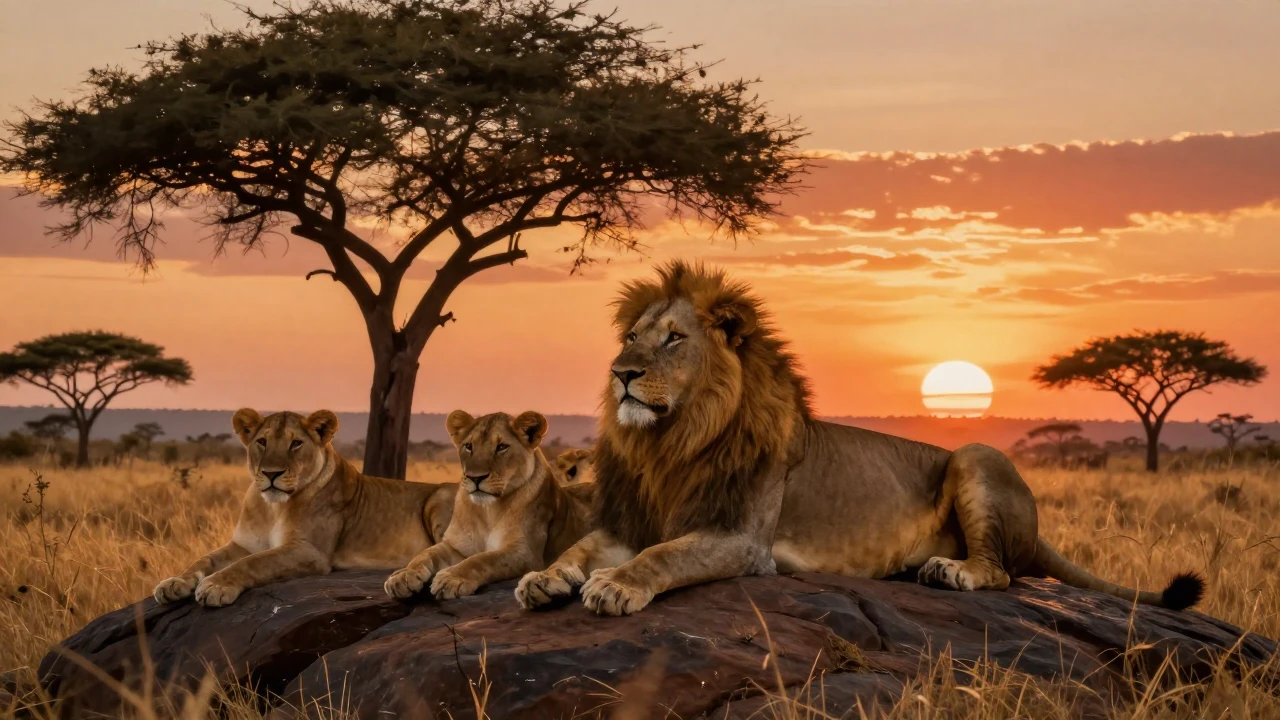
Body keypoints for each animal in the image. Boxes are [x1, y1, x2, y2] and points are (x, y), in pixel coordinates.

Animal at [153, 409, 455, 607]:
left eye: (295, 443)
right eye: (262, 442)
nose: (271, 473)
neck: (272, 508)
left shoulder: (310, 551)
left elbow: (256, 562)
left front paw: (216, 585)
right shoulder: (243, 543)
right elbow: (204, 559)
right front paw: (175, 583)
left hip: (439, 497)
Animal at [383, 410, 595, 601]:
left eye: (502, 447)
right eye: (468, 446)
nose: (475, 477)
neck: (487, 511)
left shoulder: (524, 553)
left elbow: (482, 559)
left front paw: (451, 578)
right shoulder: (455, 545)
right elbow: (425, 553)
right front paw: (403, 575)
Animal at [516, 261, 1204, 616]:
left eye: (674, 340)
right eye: (632, 337)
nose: (621, 374)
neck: (672, 440)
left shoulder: (741, 539)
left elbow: (663, 556)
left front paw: (616, 585)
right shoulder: (632, 518)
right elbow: (580, 547)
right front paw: (545, 578)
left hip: (975, 456)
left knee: (1003, 573)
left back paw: (948, 571)